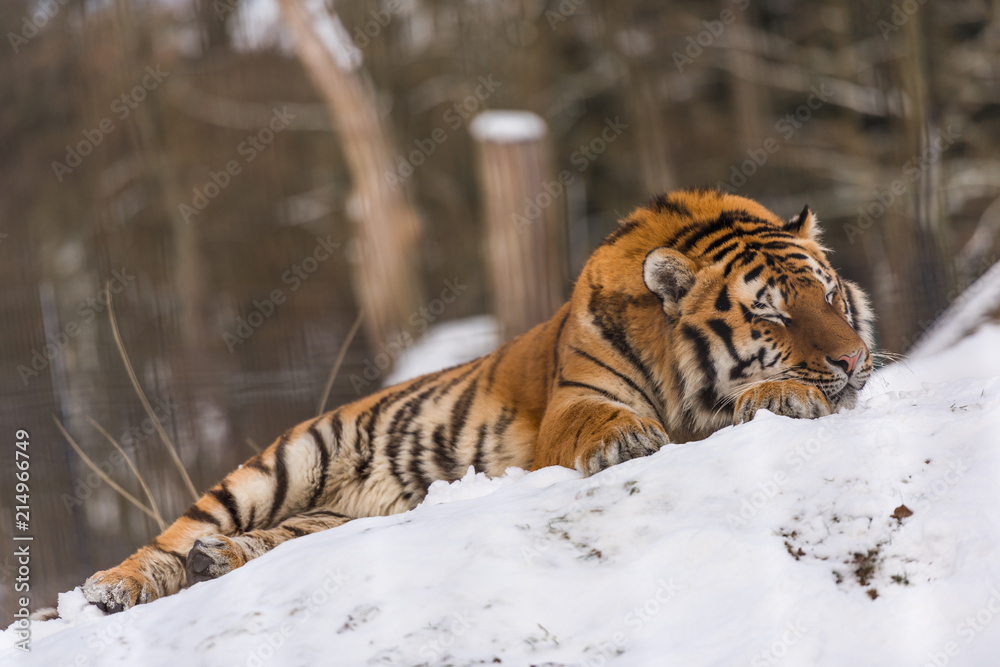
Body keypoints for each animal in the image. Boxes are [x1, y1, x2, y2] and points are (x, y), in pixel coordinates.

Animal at [82, 188, 874, 613]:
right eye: (771, 315)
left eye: (829, 295)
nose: (854, 359)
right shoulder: (574, 401)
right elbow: (604, 420)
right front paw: (630, 438)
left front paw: (783, 394)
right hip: (283, 463)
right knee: (172, 537)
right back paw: (113, 586)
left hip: (327, 520)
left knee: (259, 543)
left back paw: (217, 562)